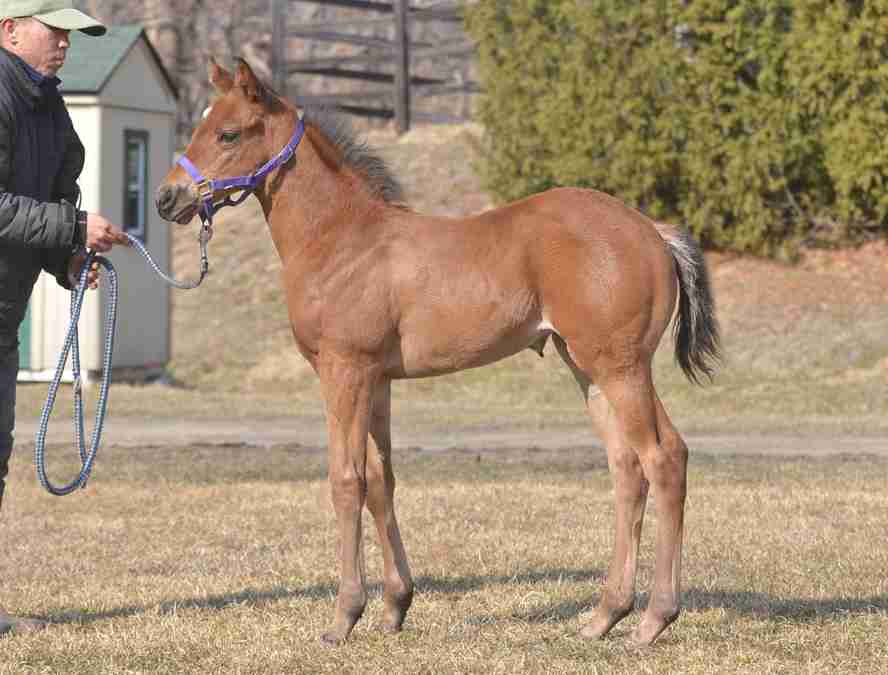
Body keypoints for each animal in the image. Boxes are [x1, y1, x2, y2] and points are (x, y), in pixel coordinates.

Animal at [156, 58, 720, 647]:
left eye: (228, 133)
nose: (167, 199)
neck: (342, 239)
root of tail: (653, 231)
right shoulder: (377, 379)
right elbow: (380, 481)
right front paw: (394, 606)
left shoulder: (344, 370)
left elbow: (345, 481)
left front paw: (344, 616)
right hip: (587, 367)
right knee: (628, 468)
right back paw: (604, 615)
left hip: (620, 366)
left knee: (664, 457)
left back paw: (654, 619)